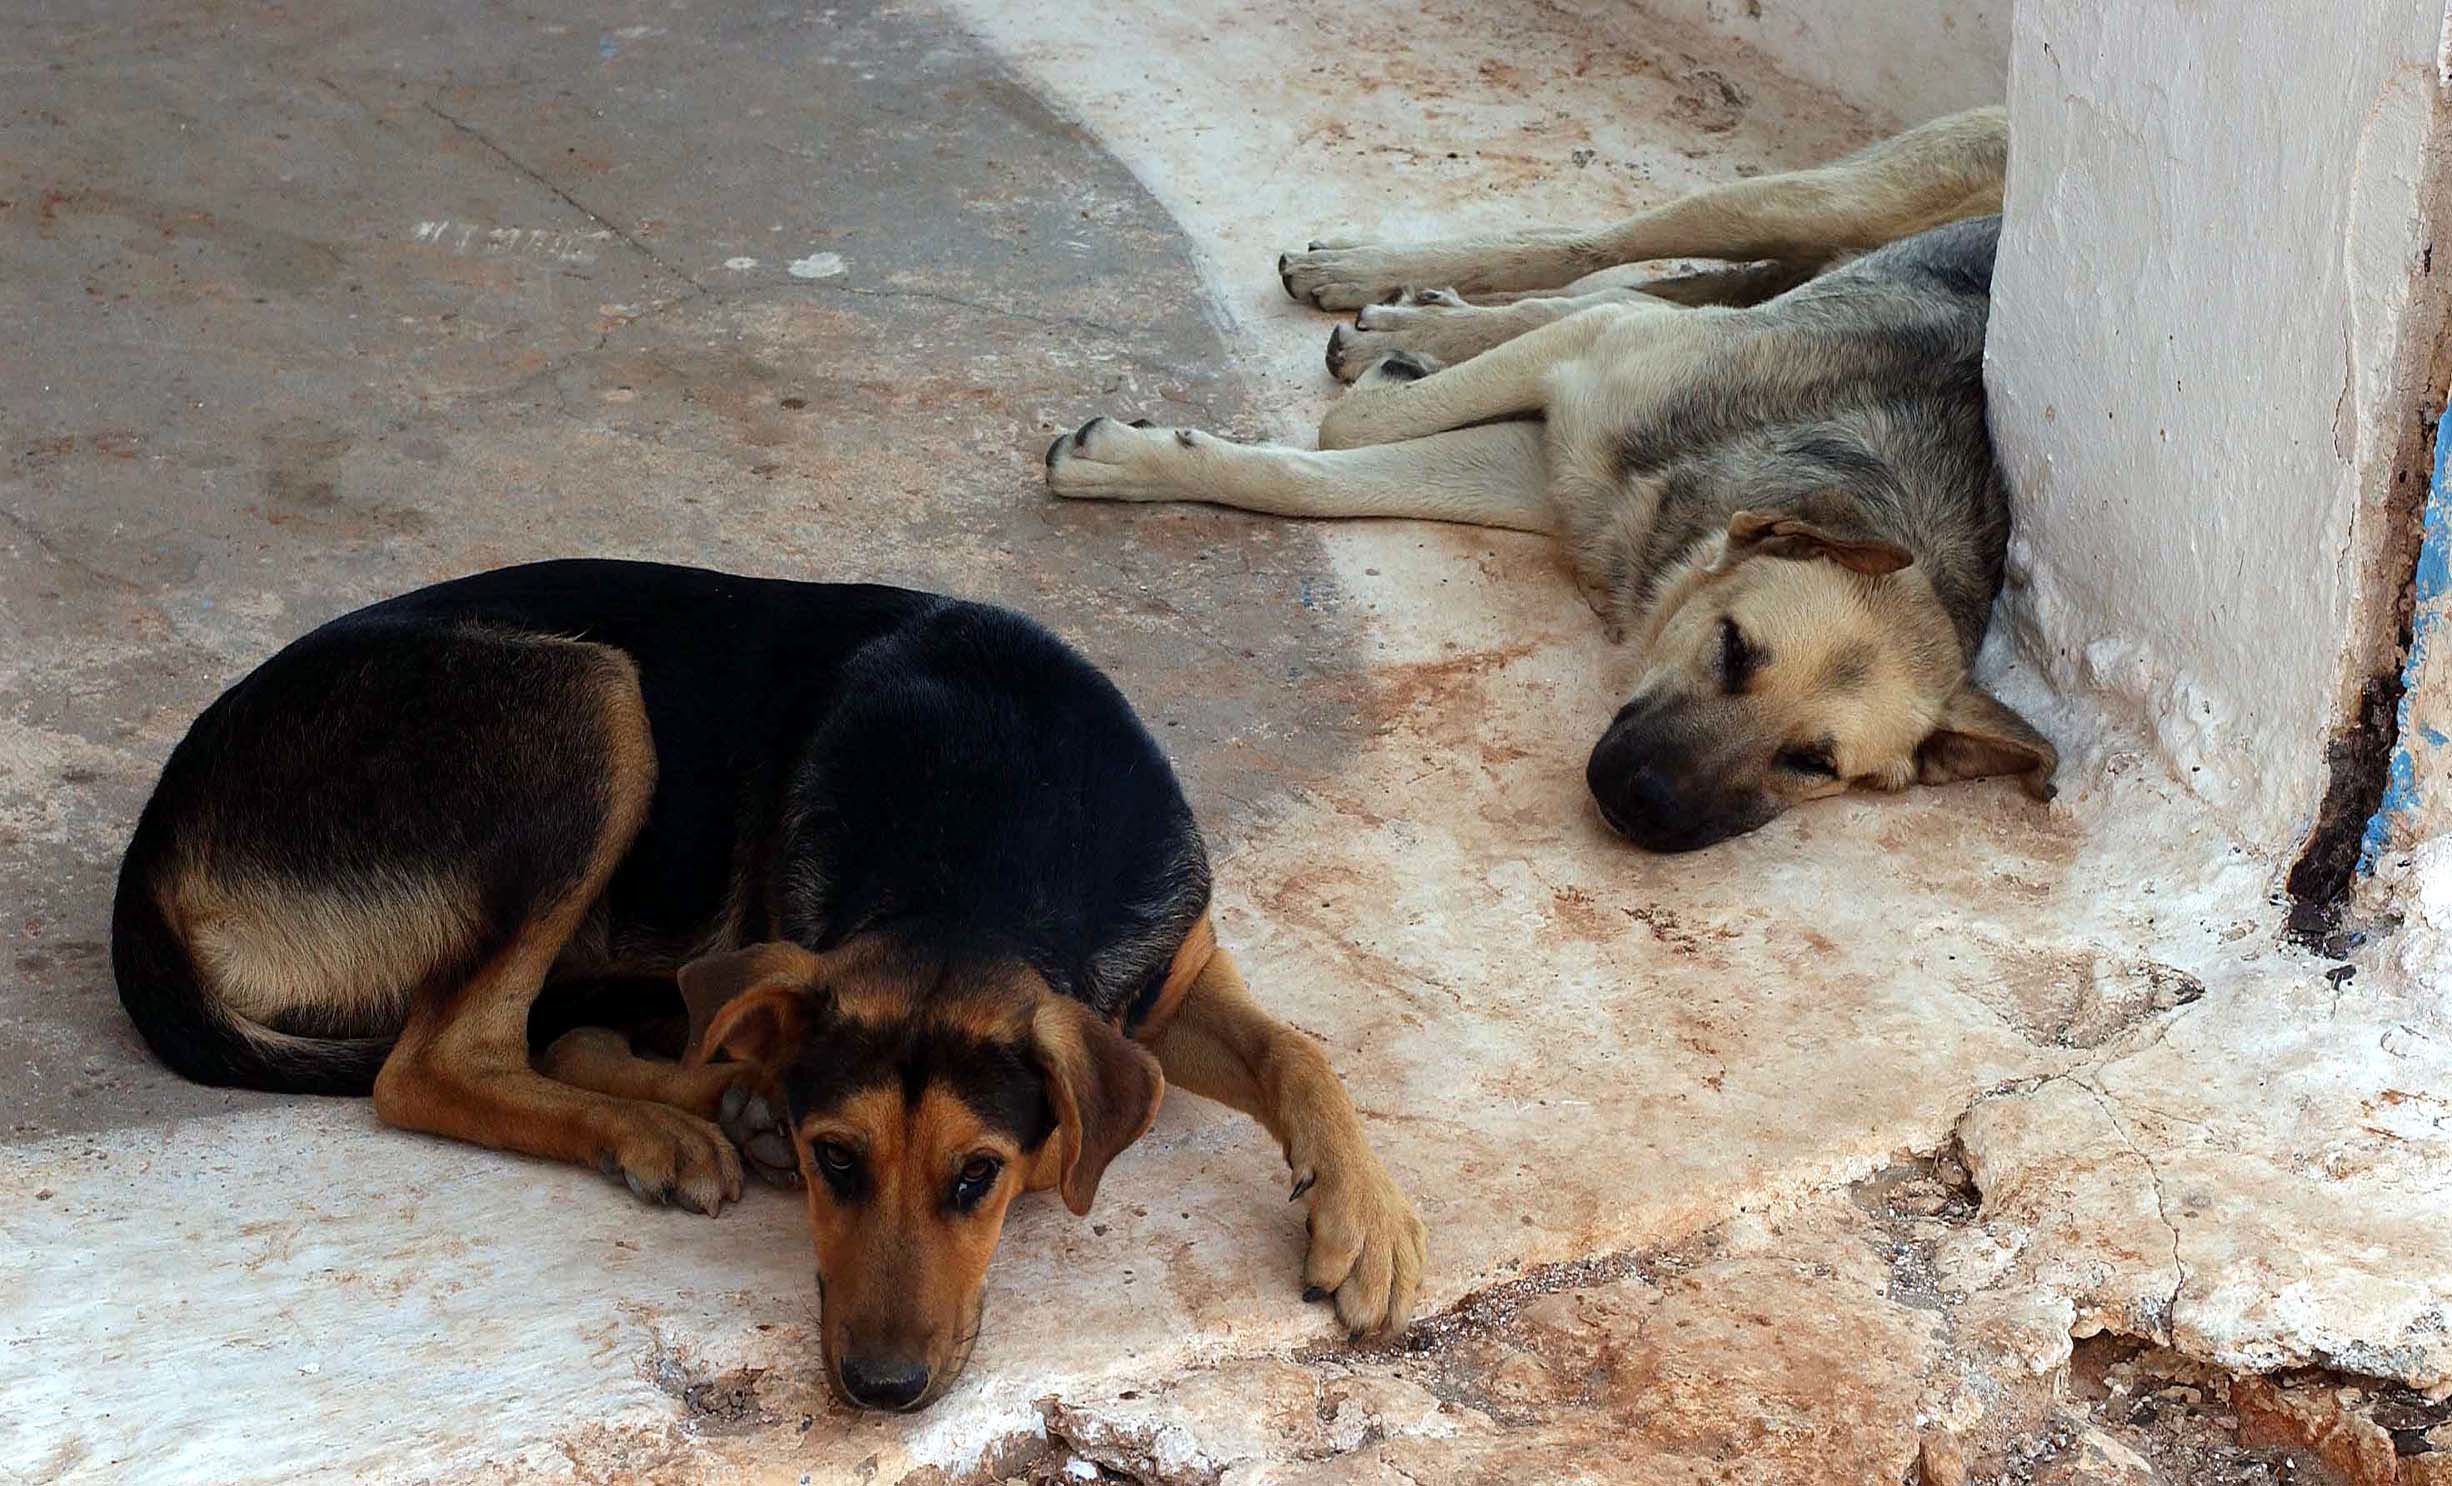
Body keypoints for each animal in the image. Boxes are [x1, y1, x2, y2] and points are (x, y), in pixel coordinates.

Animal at [110, 559, 1422, 1412]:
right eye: (838, 1160)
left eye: (975, 1176)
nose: (880, 1391)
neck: (975, 862)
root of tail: (156, 846)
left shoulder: (1173, 963)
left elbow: (1296, 1047)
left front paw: (1368, 1215)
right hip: (591, 701)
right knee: (442, 1060)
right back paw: (667, 1124)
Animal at [1044, 110, 2059, 858]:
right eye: (1734, 650)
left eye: (1814, 762)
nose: (1643, 807)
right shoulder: (1586, 376)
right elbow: (1341, 433)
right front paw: (1133, 458)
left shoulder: (1542, 472)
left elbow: (1324, 472)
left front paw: (1148, 458)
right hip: (1807, 201)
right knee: (1592, 257)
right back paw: (1380, 289)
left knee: (1653, 289)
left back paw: (1414, 320)